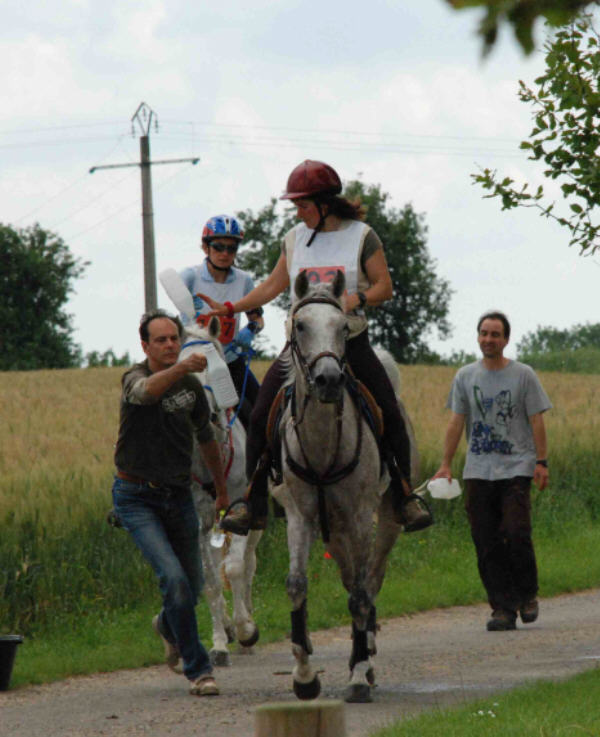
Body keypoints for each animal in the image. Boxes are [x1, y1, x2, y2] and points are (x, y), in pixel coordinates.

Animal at [272, 270, 418, 700]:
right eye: (300, 326)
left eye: (341, 327)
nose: (329, 380)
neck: (322, 444)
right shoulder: (299, 515)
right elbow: (296, 584)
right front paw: (304, 676)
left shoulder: (359, 516)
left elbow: (360, 595)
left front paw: (357, 674)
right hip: (333, 530)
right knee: (352, 575)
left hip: (385, 520)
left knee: (369, 579)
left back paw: (365, 657)